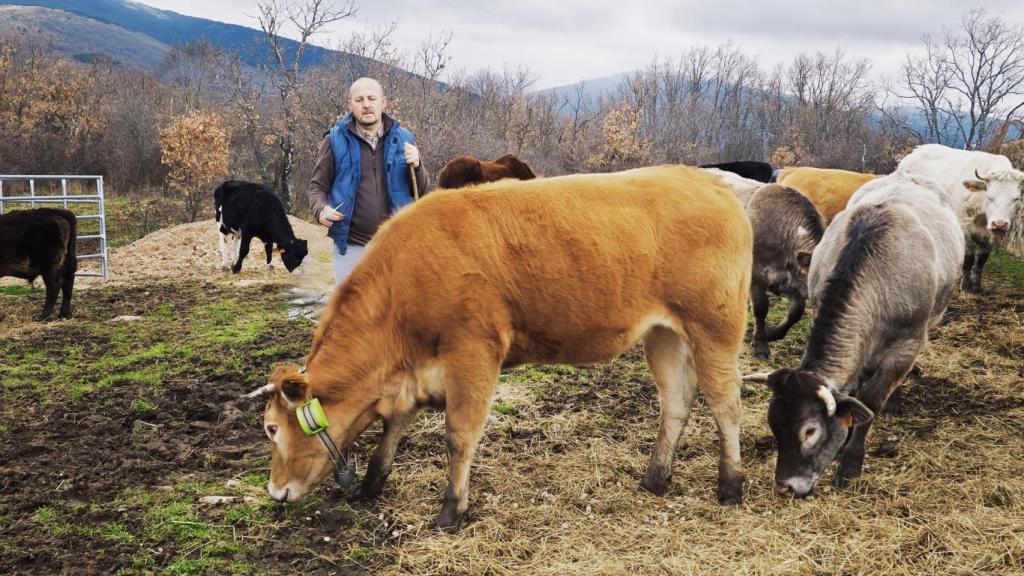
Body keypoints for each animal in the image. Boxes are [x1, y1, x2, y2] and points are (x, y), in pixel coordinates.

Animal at [244, 166, 753, 531]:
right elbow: (395, 424)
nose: (274, 491)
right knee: (676, 401)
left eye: (271, 428)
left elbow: (459, 434)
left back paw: (731, 485)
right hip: (664, 335)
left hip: (715, 327)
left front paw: (451, 510)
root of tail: (705, 178)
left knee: (726, 403)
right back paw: (656, 477)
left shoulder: (472, 353)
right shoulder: (413, 373)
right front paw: (372, 481)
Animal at [745, 185, 825, 360]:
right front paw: (760, 345)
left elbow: (795, 313)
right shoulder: (755, 275)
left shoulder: (795, 285)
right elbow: (761, 307)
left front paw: (770, 334)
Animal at [894, 144, 1024, 293]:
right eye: (990, 197)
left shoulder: (990, 236)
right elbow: (968, 258)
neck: (982, 215)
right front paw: (966, 286)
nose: (999, 224)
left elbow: (981, 260)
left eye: (1016, 199)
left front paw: (976, 285)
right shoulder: (964, 228)